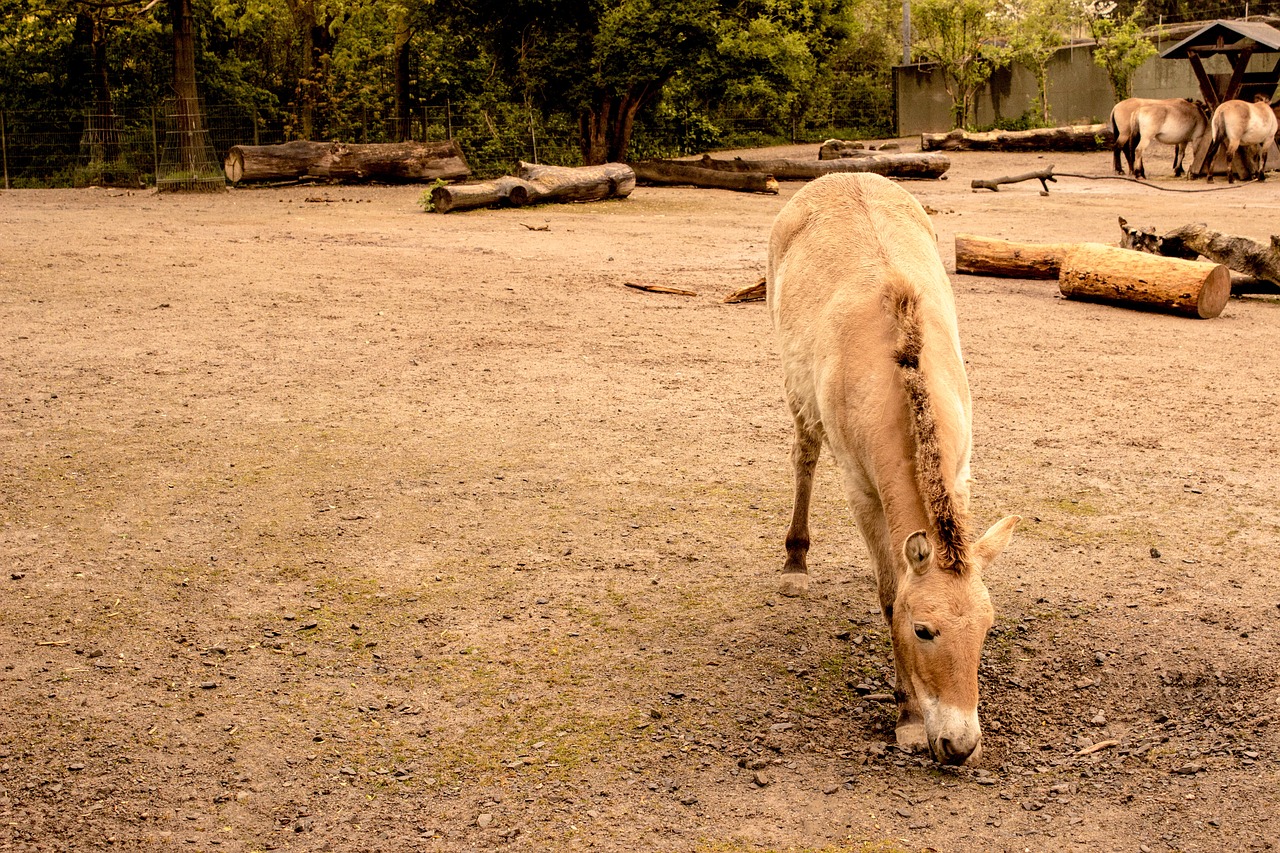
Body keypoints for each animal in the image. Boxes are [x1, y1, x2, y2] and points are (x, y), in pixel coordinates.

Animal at [768, 171, 1018, 763]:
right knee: (803, 455)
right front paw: (906, 718)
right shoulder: (861, 490)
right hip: (797, 396)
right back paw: (795, 564)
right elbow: (886, 592)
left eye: (987, 627)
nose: (960, 745)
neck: (898, 371)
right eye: (922, 630)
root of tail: (841, 176)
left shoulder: (962, 474)